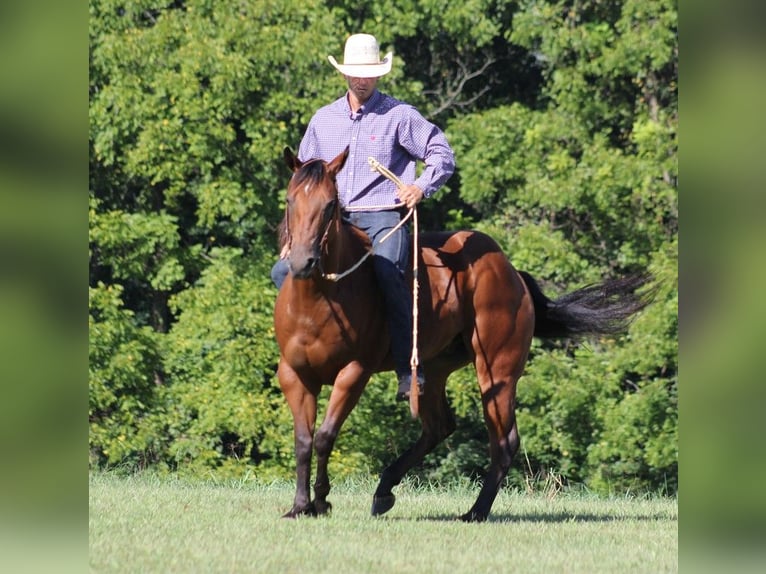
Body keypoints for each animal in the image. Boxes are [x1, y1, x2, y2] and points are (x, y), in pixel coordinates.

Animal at [272, 147, 652, 520]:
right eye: (290, 201)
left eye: (329, 205)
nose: (303, 261)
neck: (321, 300)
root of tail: (512, 273)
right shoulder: (294, 374)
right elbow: (303, 441)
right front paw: (300, 506)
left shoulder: (354, 372)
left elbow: (325, 436)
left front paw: (322, 501)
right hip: (433, 370)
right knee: (439, 427)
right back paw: (384, 491)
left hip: (497, 372)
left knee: (504, 441)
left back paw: (475, 511)